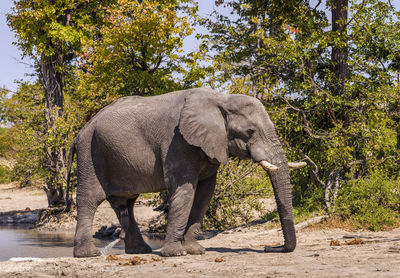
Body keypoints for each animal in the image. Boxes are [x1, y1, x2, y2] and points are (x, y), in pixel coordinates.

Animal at [68, 88, 306, 258]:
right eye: (250, 131)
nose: (270, 247)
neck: (221, 99)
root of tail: (80, 132)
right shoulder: (178, 142)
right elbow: (185, 190)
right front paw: (176, 254)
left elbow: (205, 193)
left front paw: (195, 251)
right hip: (90, 154)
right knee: (90, 199)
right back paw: (88, 254)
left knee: (125, 203)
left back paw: (140, 251)